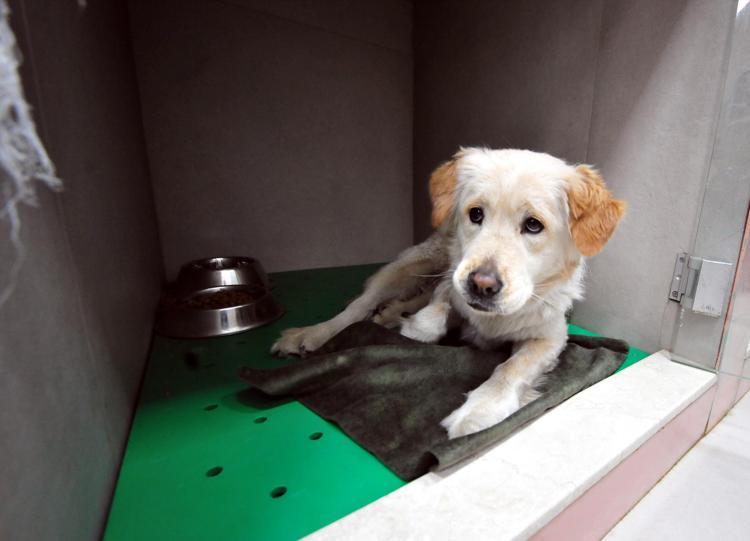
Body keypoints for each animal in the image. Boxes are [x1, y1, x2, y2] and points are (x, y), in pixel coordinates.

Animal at [272, 147, 625, 438]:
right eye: (476, 214)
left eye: (534, 225)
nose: (481, 285)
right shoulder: (450, 283)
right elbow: (434, 312)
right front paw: (415, 328)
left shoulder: (550, 337)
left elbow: (511, 367)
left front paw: (480, 408)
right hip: (412, 264)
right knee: (359, 307)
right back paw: (311, 334)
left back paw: (389, 314)